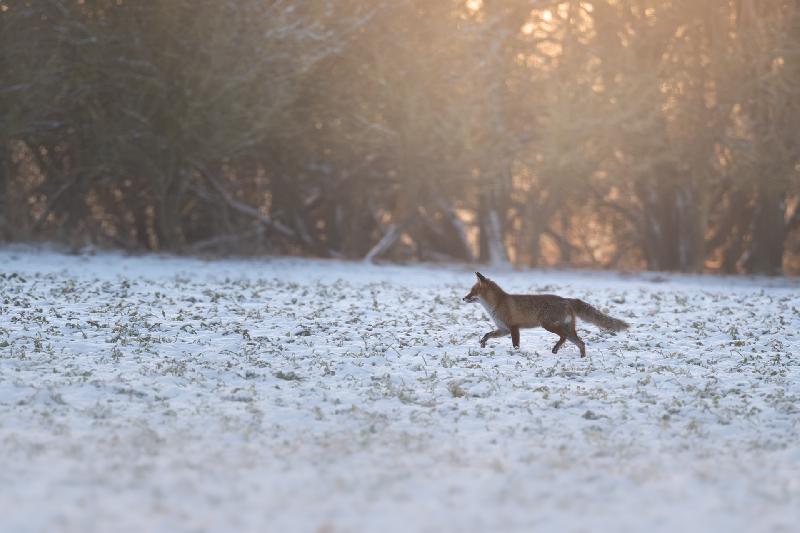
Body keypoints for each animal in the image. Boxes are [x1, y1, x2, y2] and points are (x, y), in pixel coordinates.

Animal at [462, 272, 628, 357]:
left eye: (472, 291)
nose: (463, 298)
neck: (497, 303)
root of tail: (566, 299)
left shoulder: (514, 328)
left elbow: (515, 345)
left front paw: (516, 353)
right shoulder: (504, 329)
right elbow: (487, 334)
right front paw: (482, 344)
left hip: (547, 324)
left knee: (564, 337)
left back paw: (555, 350)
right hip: (566, 328)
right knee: (581, 343)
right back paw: (581, 358)